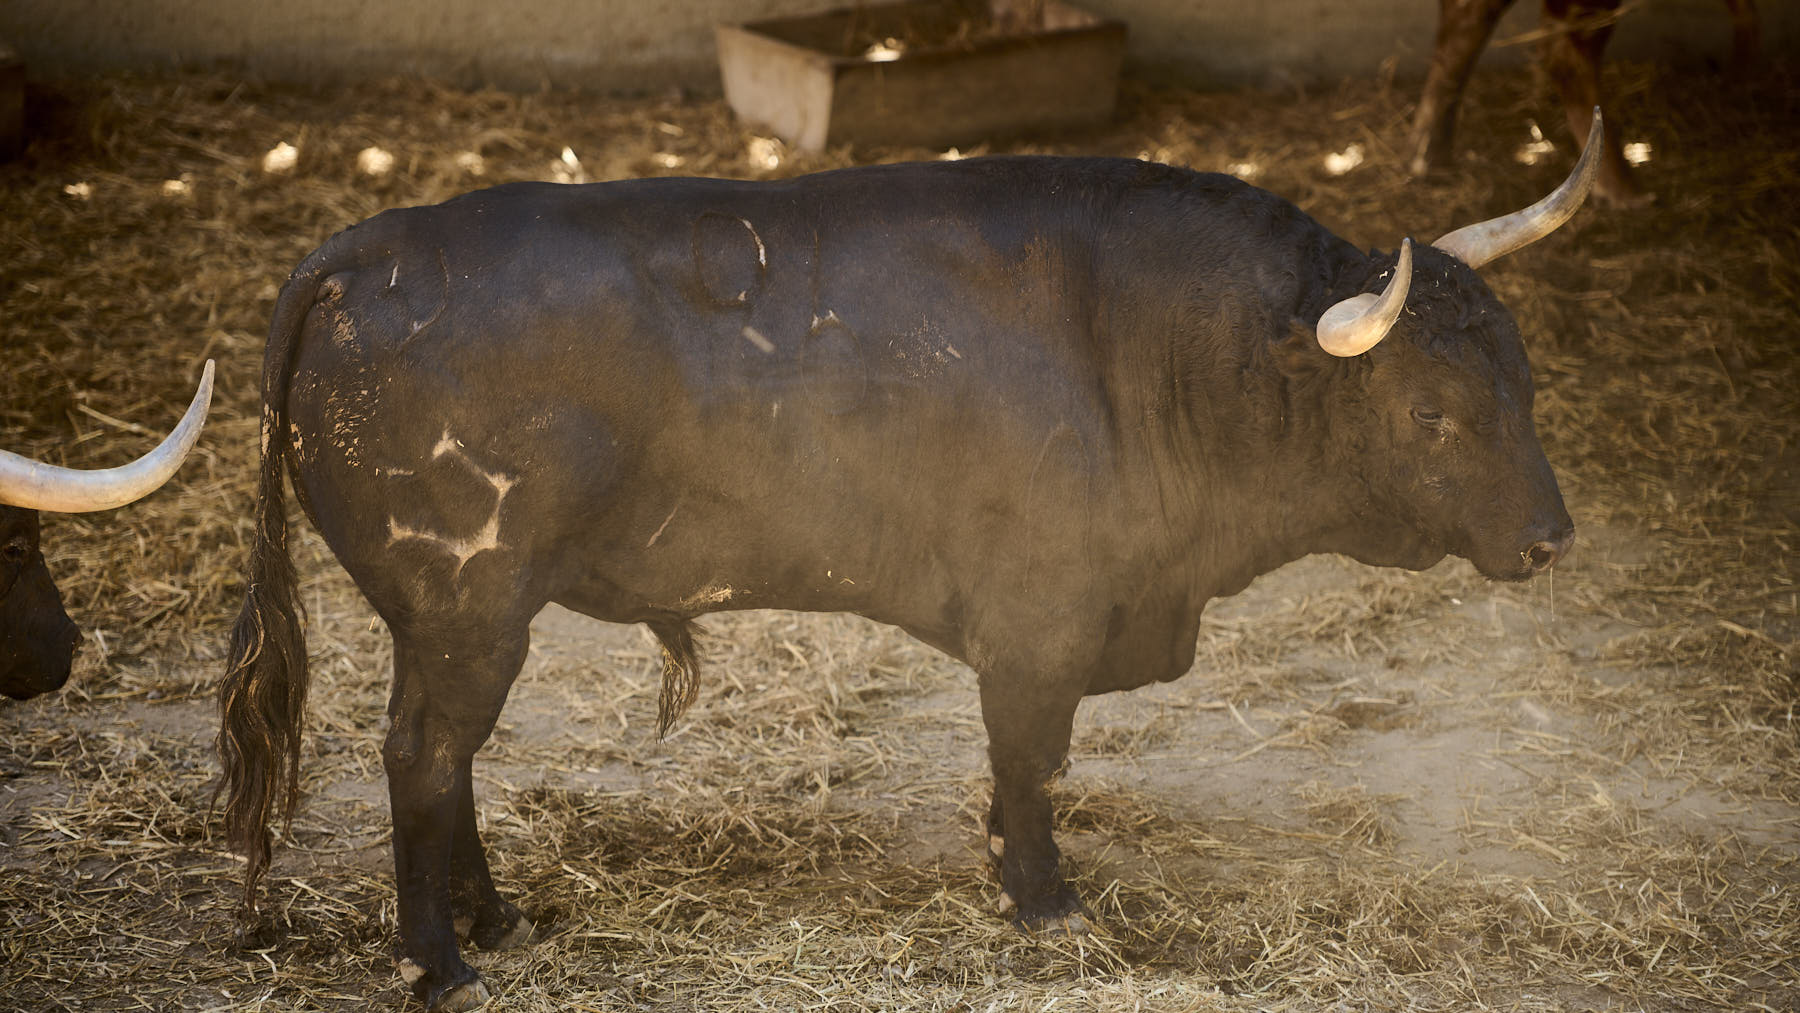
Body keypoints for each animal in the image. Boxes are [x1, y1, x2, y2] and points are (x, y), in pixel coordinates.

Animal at [221, 152, 1591, 1013]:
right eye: (1430, 410)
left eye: (1522, 379)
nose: (1549, 537)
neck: (1163, 347)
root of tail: (357, 255)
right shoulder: (1038, 625)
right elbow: (1029, 762)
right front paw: (1045, 900)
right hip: (467, 604)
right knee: (422, 756)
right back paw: (443, 960)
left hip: (462, 620)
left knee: (445, 761)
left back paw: (493, 920)